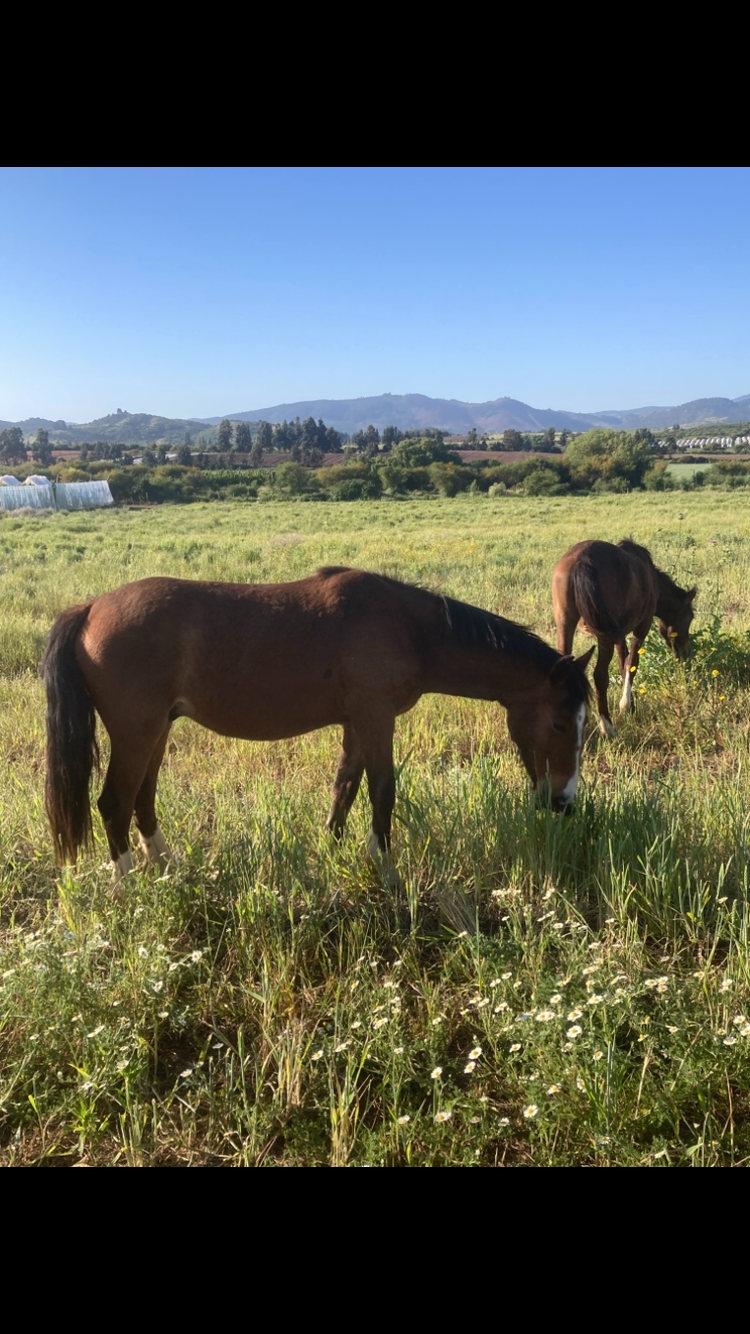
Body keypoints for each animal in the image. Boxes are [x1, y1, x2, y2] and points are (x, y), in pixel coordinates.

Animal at [42, 567, 593, 881]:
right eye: (561, 724)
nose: (563, 803)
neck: (409, 627)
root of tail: (89, 608)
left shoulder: (356, 723)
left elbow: (344, 787)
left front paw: (332, 851)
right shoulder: (376, 719)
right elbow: (382, 791)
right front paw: (383, 864)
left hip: (157, 730)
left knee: (142, 800)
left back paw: (166, 868)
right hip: (136, 732)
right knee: (114, 804)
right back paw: (128, 888)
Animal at [552, 539, 696, 737]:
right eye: (689, 617)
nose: (685, 654)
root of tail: (582, 562)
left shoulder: (619, 633)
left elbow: (623, 662)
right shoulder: (641, 626)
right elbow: (632, 663)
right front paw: (626, 705)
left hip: (565, 624)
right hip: (604, 635)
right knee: (600, 675)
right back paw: (607, 727)